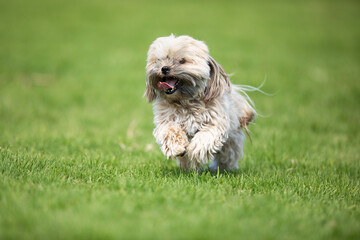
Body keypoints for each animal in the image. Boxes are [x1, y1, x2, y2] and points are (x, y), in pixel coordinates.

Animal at [144, 34, 256, 172]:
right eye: (159, 60)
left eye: (182, 60)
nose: (164, 68)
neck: (185, 101)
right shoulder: (166, 120)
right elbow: (170, 131)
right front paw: (177, 148)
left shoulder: (215, 122)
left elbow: (205, 136)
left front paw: (195, 151)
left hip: (231, 143)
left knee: (227, 156)